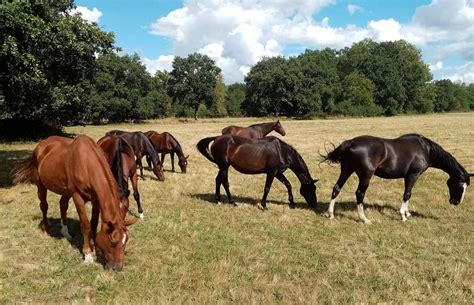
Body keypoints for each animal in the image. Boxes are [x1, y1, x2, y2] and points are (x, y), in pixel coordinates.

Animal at [12, 135, 134, 270]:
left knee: (63, 205)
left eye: (125, 241)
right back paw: (46, 230)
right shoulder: (77, 197)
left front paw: (94, 247)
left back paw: (65, 232)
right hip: (41, 185)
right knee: (44, 206)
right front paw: (88, 254)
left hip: (65, 190)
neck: (86, 164)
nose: (117, 268)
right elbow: (85, 225)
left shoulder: (96, 199)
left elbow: (94, 223)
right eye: (113, 242)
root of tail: (41, 145)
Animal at [320, 134, 472, 222]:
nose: (455, 202)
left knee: (337, 188)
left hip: (346, 171)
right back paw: (363, 218)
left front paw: (408, 213)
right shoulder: (412, 175)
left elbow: (408, 195)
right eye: (460, 185)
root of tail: (350, 142)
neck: (425, 149)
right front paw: (403, 215)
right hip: (365, 176)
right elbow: (407, 194)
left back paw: (330, 214)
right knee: (359, 194)